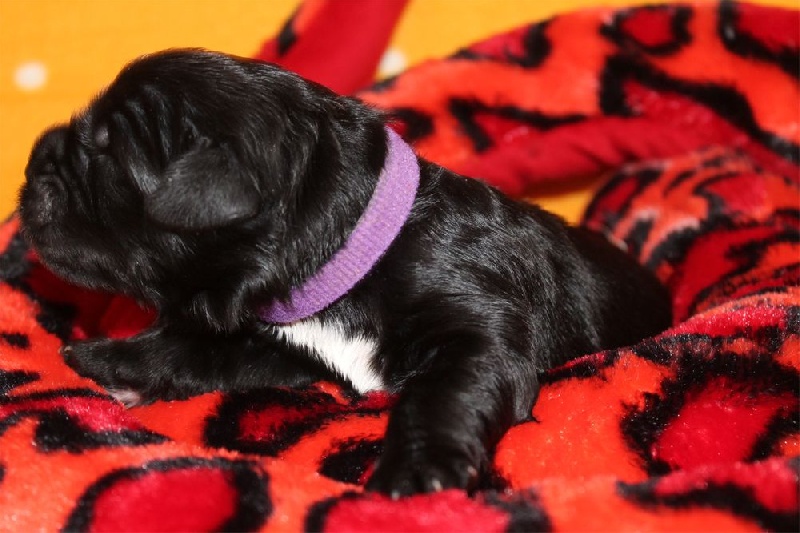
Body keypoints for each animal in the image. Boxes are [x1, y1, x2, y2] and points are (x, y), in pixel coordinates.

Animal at [18, 49, 672, 496]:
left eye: (107, 152)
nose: (32, 163)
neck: (352, 257)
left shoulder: (475, 330)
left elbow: (442, 394)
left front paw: (417, 471)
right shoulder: (283, 344)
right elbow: (198, 348)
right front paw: (106, 358)